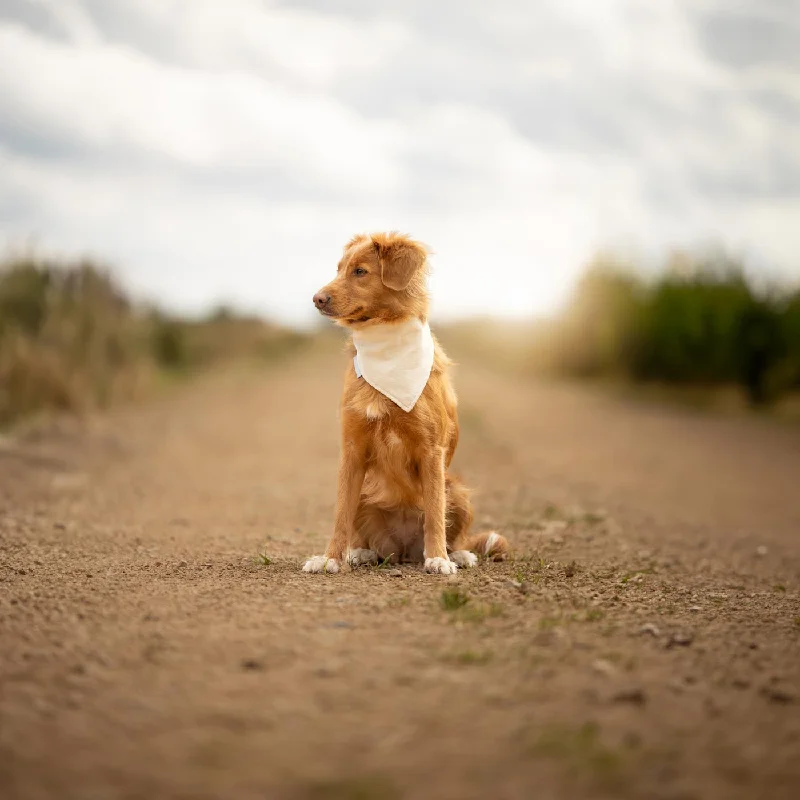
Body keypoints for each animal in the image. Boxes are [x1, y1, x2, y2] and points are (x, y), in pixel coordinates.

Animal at [304, 231, 510, 576]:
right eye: (339, 269)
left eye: (360, 271)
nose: (317, 299)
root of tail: (403, 551)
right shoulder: (352, 449)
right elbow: (340, 515)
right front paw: (330, 558)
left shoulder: (431, 450)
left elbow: (435, 513)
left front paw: (438, 558)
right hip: (367, 491)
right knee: (373, 543)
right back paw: (360, 553)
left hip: (457, 489)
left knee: (455, 533)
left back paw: (456, 555)